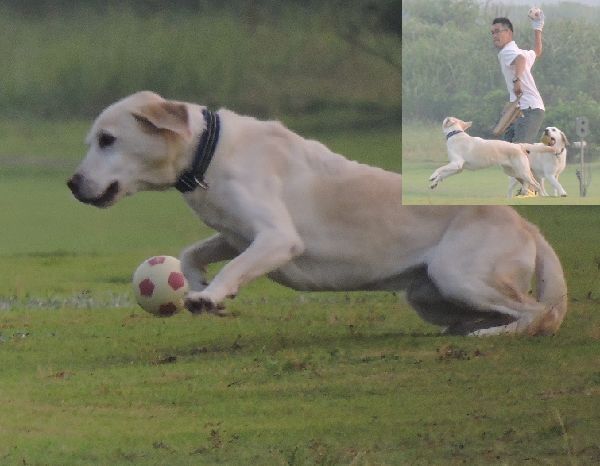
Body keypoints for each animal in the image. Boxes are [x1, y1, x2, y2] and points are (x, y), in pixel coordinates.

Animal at [428, 118, 556, 195]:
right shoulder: (458, 168)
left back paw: (542, 196)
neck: (455, 133)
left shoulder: (456, 163)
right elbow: (443, 174)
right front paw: (434, 182)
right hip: (513, 172)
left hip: (523, 171)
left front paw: (432, 176)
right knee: (526, 183)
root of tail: (518, 145)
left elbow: (440, 169)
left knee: (536, 184)